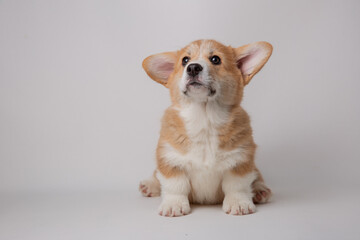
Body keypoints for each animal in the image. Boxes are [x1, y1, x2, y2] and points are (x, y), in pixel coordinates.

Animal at [139, 38, 272, 217]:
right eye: (185, 60)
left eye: (215, 59)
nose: (193, 67)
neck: (204, 118)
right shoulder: (170, 159)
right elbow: (175, 186)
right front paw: (174, 204)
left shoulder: (240, 160)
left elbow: (237, 186)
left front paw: (239, 203)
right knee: (157, 176)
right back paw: (149, 185)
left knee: (256, 175)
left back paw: (259, 190)